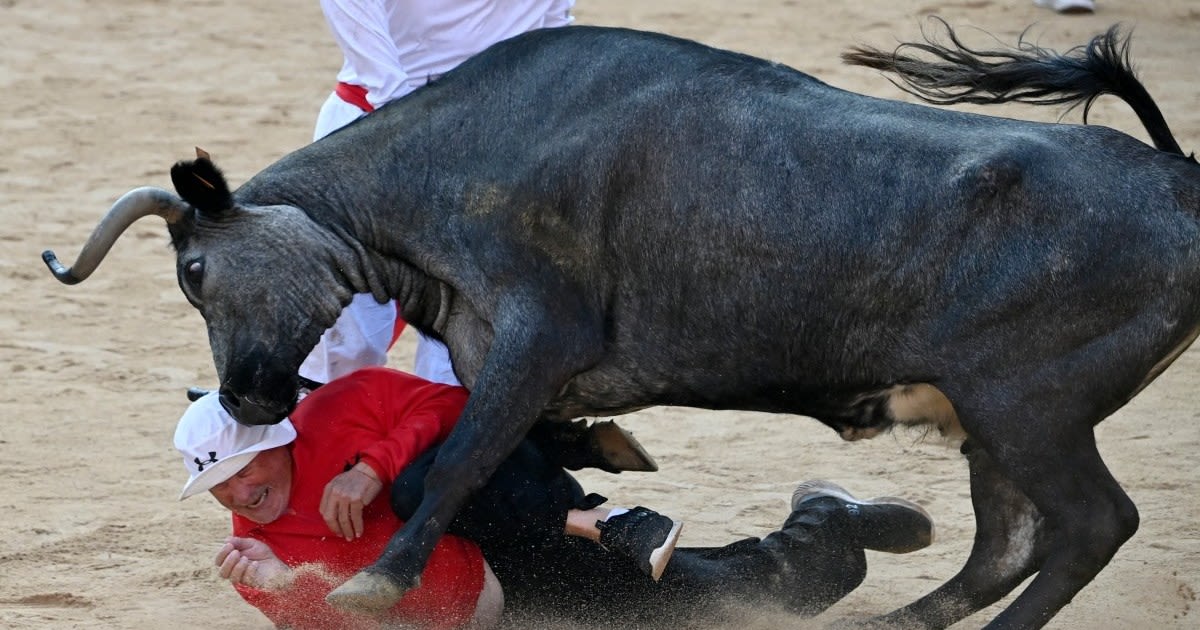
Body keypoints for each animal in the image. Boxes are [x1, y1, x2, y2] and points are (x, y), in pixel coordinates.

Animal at [42, 22, 1195, 624]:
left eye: (194, 269)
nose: (243, 399)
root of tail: (1179, 184)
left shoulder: (534, 338)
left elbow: (446, 472)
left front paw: (375, 576)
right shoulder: (498, 361)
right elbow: (477, 458)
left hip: (1027, 407)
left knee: (1090, 526)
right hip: (991, 420)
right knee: (1009, 542)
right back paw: (897, 618)